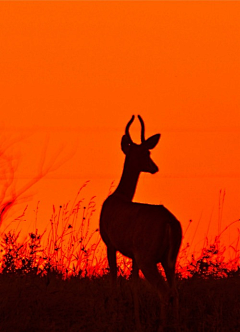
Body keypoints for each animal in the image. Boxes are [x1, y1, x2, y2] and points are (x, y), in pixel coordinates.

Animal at [99, 115, 182, 330]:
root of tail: (170, 222)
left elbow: (114, 281)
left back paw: (161, 327)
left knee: (165, 292)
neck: (119, 196)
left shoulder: (110, 244)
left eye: (148, 151)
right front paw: (136, 322)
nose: (154, 167)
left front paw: (114, 319)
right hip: (169, 259)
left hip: (148, 257)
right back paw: (177, 325)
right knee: (175, 292)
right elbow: (134, 285)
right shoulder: (134, 255)